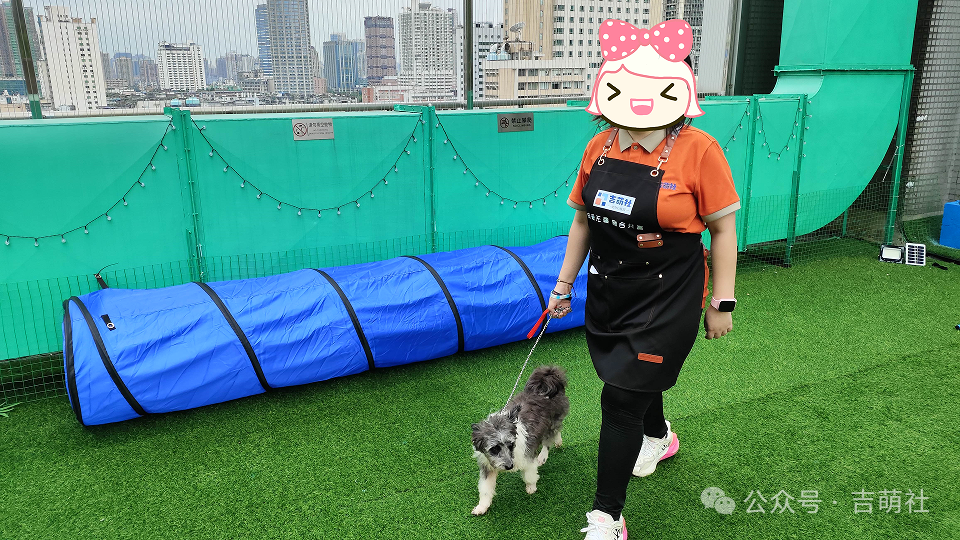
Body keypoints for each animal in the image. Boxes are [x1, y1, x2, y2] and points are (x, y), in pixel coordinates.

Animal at [470, 365, 569, 515]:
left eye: (511, 445)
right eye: (494, 449)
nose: (509, 466)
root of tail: (548, 377)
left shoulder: (528, 456)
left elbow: (529, 474)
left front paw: (531, 487)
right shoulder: (487, 466)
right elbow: (485, 489)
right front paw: (482, 506)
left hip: (552, 421)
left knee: (549, 438)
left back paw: (544, 455)